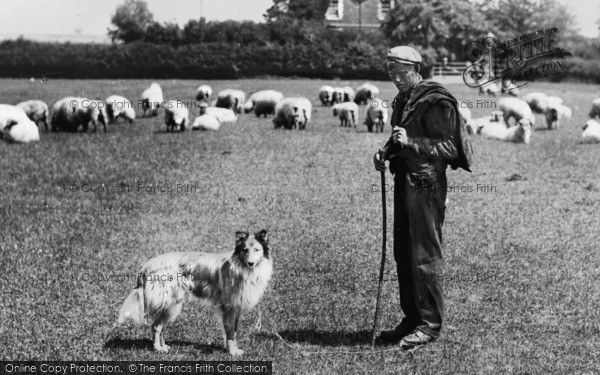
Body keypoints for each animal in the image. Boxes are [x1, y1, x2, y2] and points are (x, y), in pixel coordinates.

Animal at [117, 231, 272, 356]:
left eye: (257, 250)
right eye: (245, 250)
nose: (251, 263)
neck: (240, 268)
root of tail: (145, 267)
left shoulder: (236, 308)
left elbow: (234, 330)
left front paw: (232, 349)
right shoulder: (228, 307)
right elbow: (230, 333)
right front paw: (233, 352)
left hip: (170, 304)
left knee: (159, 327)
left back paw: (164, 346)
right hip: (169, 303)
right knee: (156, 327)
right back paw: (158, 349)